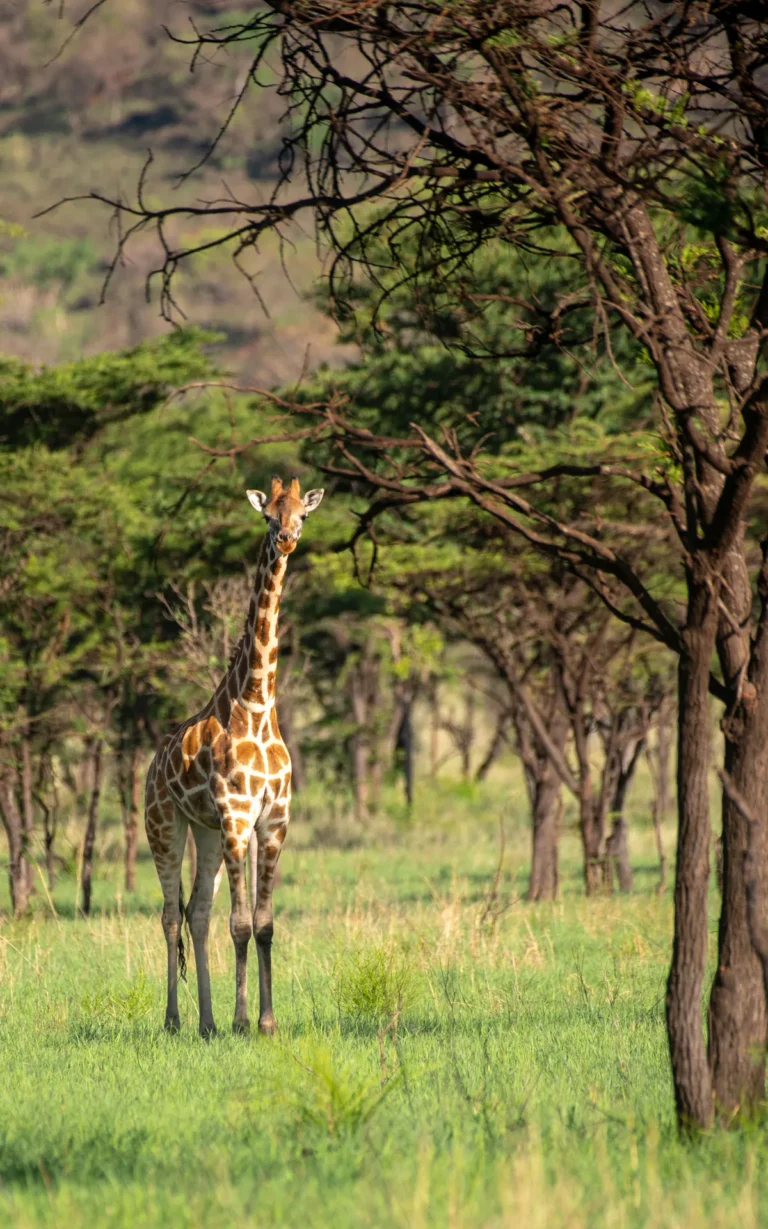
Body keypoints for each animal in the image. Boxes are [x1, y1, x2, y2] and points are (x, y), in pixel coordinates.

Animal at [144, 476, 324, 1037]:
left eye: (302, 515)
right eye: (268, 516)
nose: (286, 539)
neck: (258, 706)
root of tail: (150, 765)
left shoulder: (272, 821)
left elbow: (264, 925)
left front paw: (265, 1022)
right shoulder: (237, 816)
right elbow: (241, 924)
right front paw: (243, 1020)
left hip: (204, 832)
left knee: (197, 912)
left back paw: (205, 1022)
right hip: (165, 825)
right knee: (170, 914)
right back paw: (174, 1021)